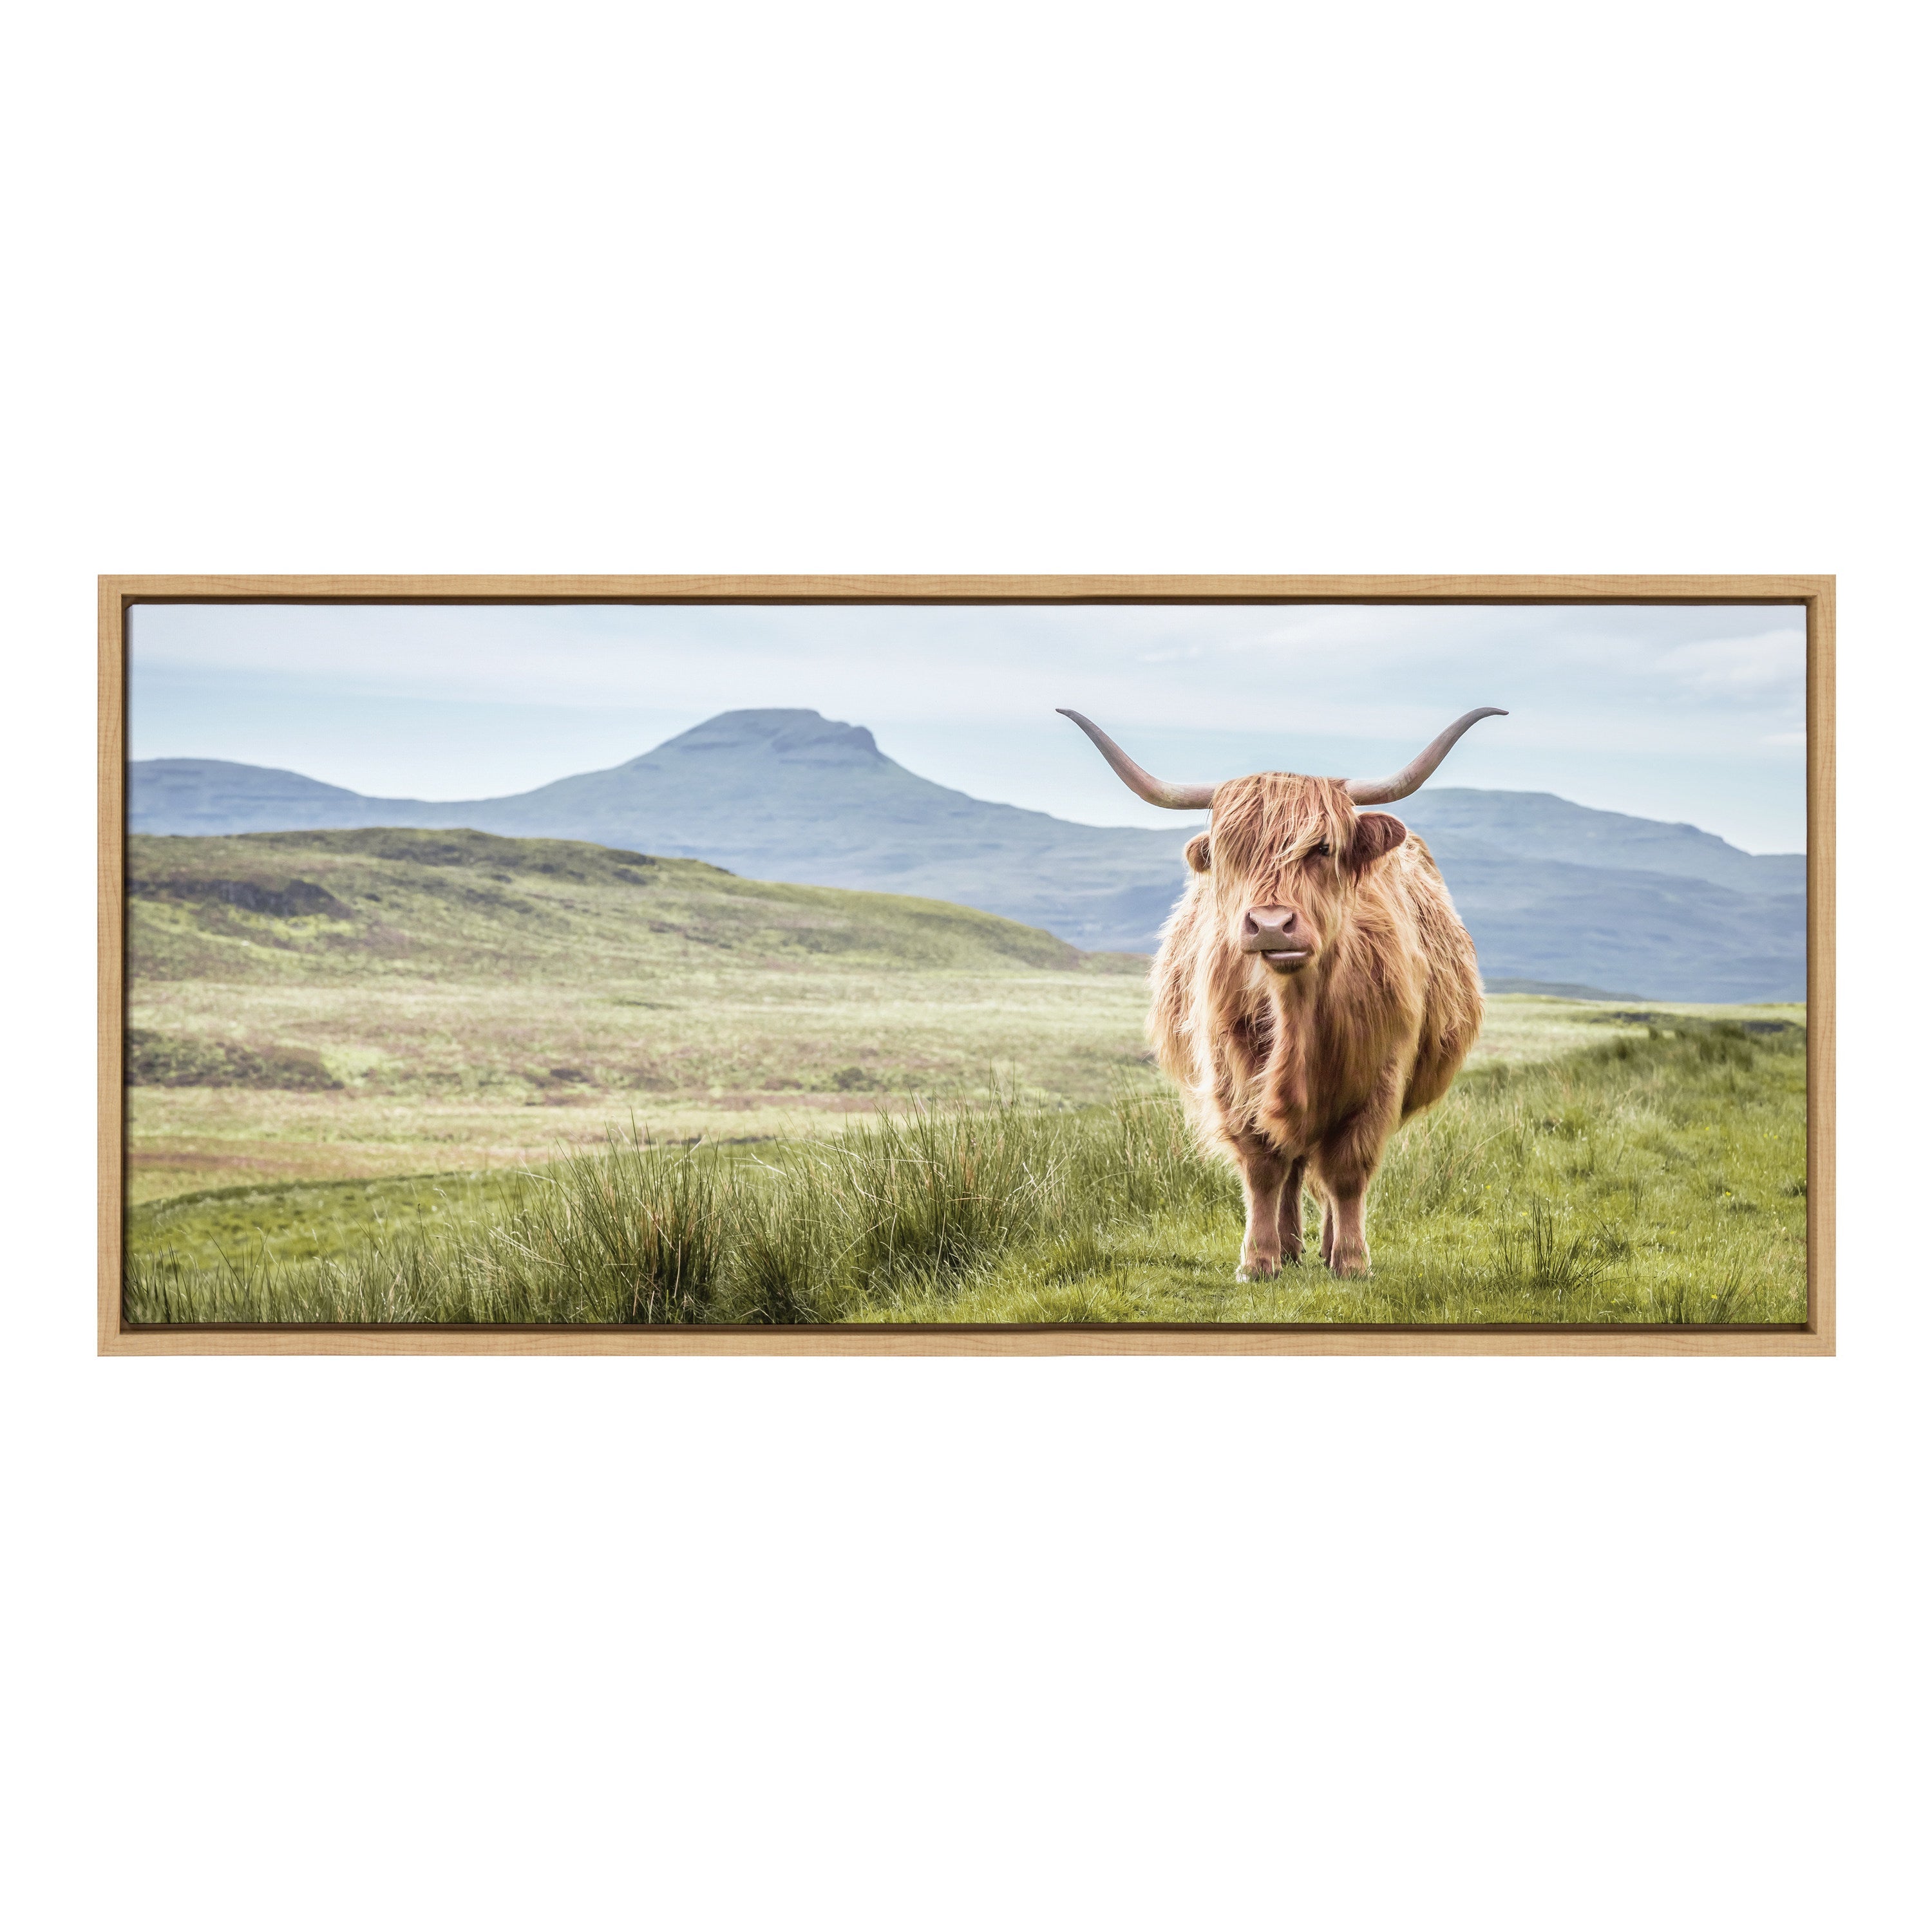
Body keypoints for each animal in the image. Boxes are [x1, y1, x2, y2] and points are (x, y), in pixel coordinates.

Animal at [1060, 706, 1505, 1281]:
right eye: (1231, 852)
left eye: (1322, 849)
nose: (1271, 925)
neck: (1297, 1009)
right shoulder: (1232, 1072)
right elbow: (1263, 1165)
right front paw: (1259, 1260)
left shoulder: (1380, 1076)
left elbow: (1348, 1170)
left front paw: (1352, 1261)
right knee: (1291, 1163)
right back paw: (1291, 1246)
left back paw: (1326, 1246)